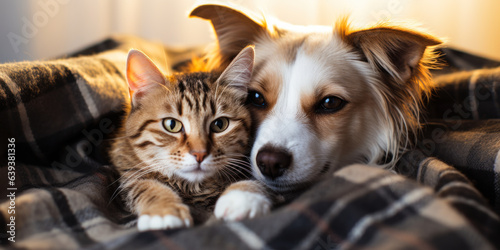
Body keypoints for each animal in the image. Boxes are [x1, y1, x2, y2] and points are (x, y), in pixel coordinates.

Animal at [111, 46, 272, 230]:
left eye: (220, 124)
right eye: (171, 125)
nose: (199, 154)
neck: (193, 187)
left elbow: (259, 179)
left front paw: (241, 198)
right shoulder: (128, 172)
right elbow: (145, 185)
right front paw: (164, 210)